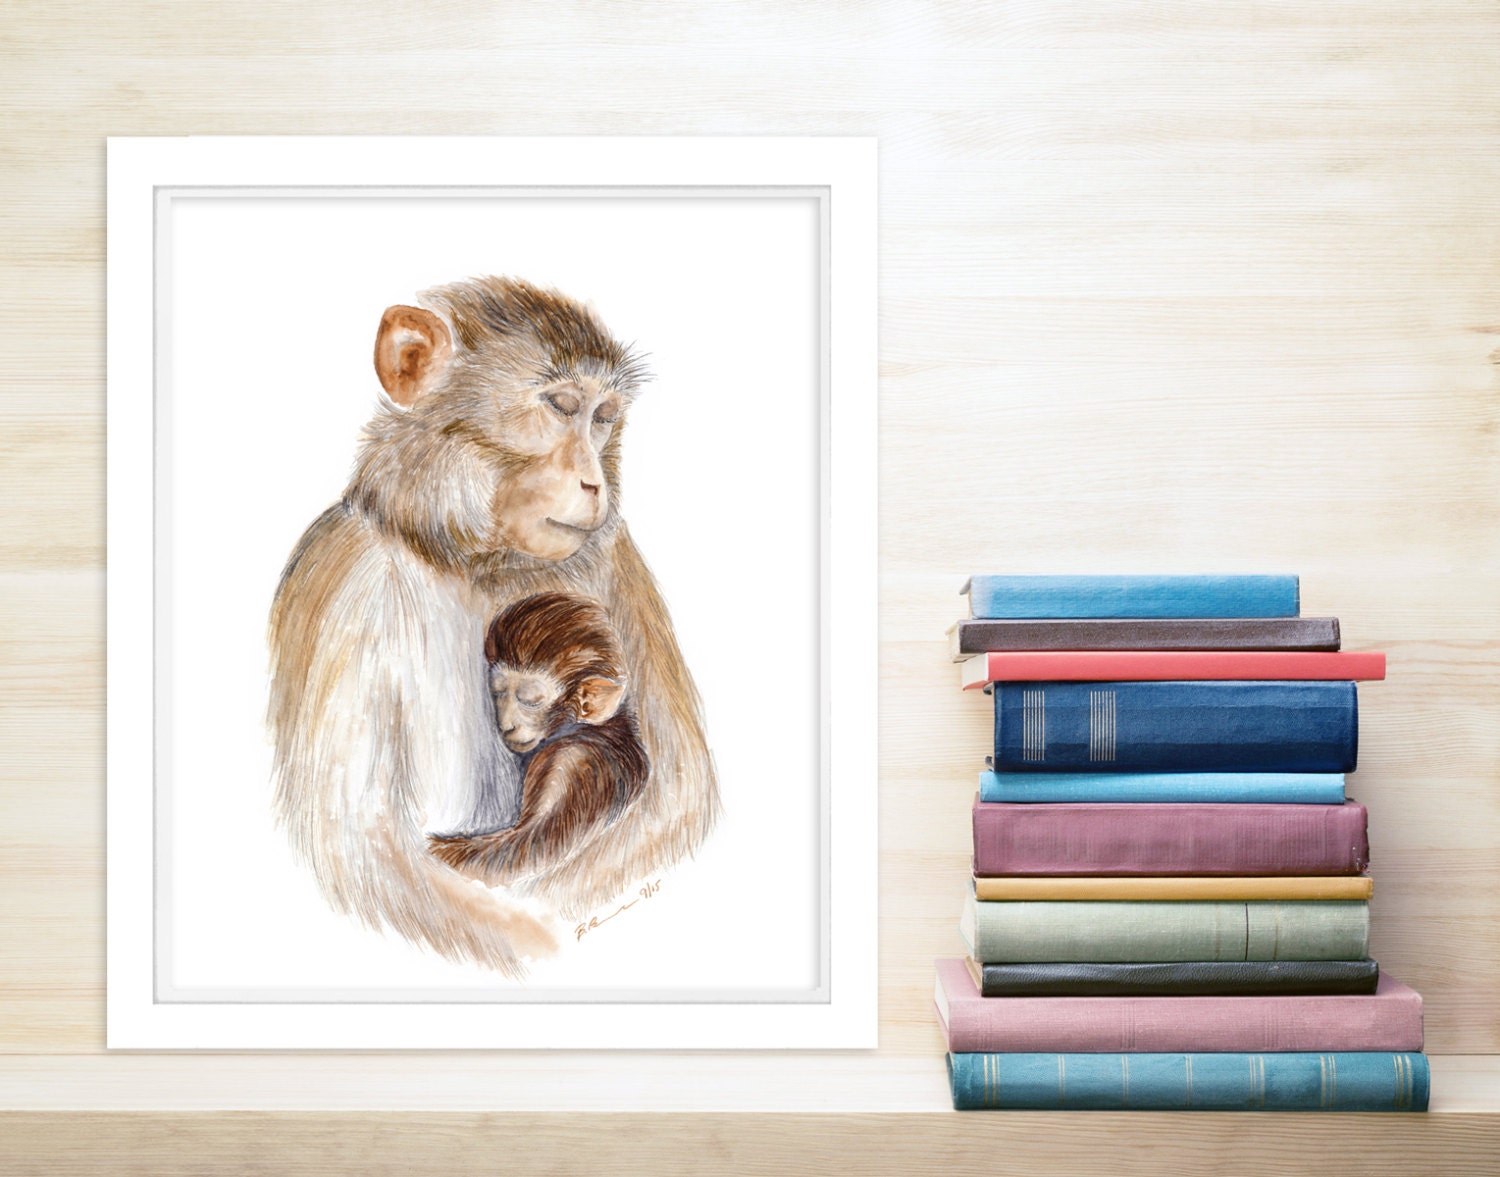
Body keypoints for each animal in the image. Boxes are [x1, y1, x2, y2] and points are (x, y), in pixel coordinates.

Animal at [431, 592, 649, 882]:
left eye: (530, 701)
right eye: (498, 693)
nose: (506, 725)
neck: (603, 728)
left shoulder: (566, 764)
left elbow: (527, 847)